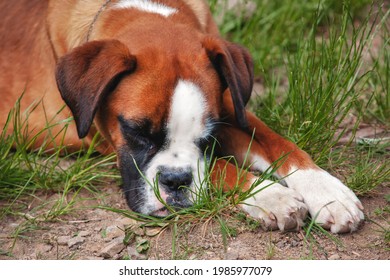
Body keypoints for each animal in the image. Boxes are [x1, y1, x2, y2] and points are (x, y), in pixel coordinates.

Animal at [0, 0, 364, 233]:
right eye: (136, 131)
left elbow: (277, 143)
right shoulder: (103, 141)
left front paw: (327, 192)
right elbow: (219, 168)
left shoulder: (231, 108)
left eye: (208, 136)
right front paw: (270, 195)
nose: (175, 182)